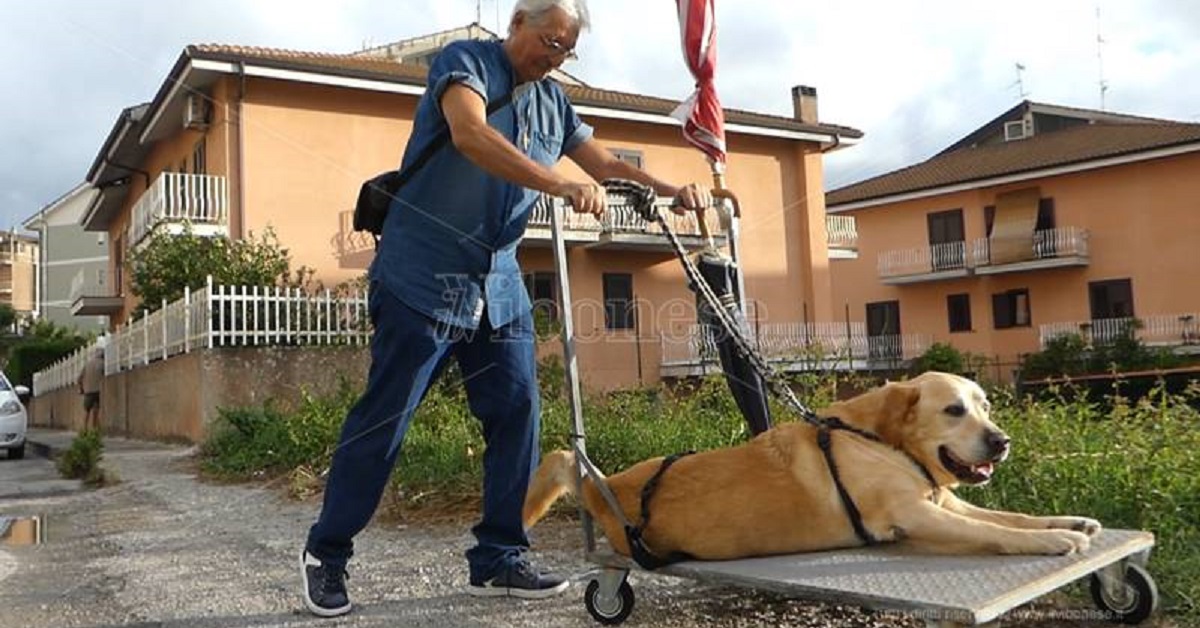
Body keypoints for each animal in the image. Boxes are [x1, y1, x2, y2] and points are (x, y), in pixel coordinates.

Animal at [520, 372, 1099, 561]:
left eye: (986, 405)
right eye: (953, 410)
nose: (1001, 442)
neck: (880, 440)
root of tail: (603, 484)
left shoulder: (945, 500)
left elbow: (1010, 518)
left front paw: (1070, 522)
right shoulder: (915, 513)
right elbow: (1000, 532)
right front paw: (1055, 540)